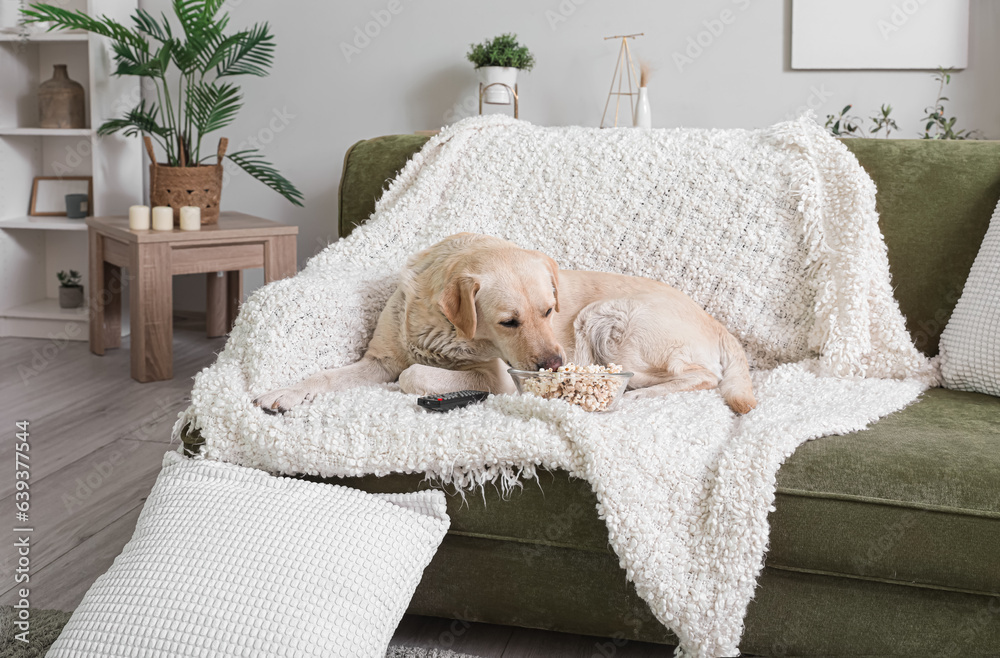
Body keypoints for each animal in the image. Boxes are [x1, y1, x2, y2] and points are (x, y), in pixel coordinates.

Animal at [254, 233, 752, 412]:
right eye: (509, 321)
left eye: (549, 311)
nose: (553, 365)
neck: (441, 325)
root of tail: (717, 323)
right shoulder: (378, 360)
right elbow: (327, 375)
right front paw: (286, 392)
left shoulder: (495, 375)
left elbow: (414, 374)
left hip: (609, 316)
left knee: (701, 376)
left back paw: (637, 390)